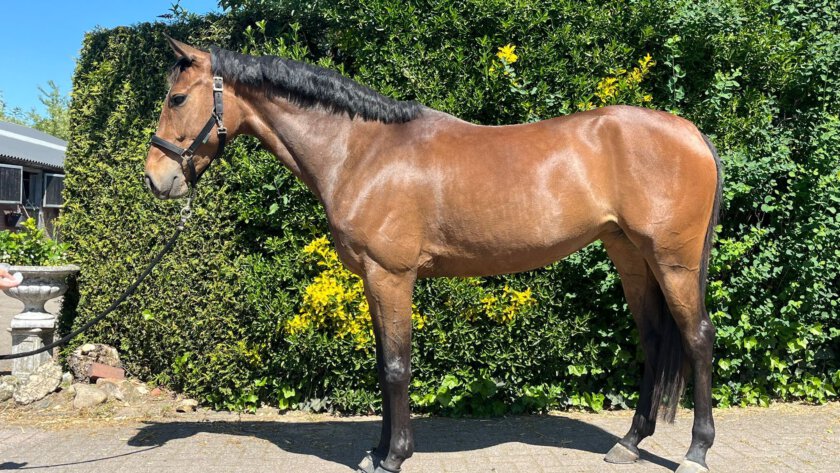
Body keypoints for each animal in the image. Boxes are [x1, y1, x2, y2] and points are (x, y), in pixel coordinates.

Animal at [145, 36, 721, 473]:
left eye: (177, 98)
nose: (156, 179)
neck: (362, 152)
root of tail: (692, 133)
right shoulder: (373, 280)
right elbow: (383, 365)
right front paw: (376, 451)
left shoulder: (392, 276)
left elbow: (397, 367)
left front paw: (394, 457)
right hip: (630, 256)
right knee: (654, 340)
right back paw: (629, 444)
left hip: (673, 261)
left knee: (697, 338)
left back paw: (696, 452)